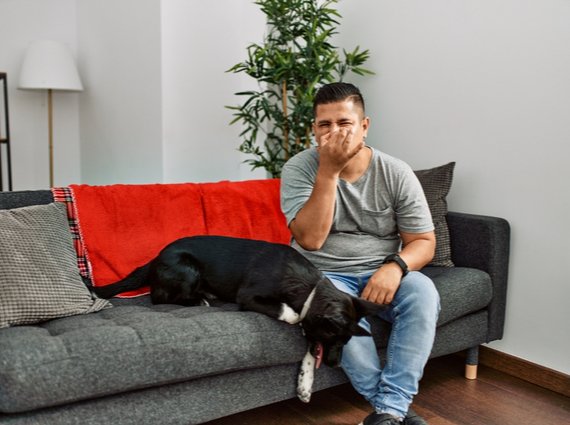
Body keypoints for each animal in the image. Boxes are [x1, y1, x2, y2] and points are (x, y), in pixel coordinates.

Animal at [93, 235, 384, 400]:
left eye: (346, 342)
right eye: (335, 339)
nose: (336, 365)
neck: (308, 287)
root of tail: (155, 258)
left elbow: (310, 348)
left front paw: (305, 383)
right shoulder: (250, 297)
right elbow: (292, 316)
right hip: (187, 268)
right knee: (158, 298)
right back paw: (197, 299)